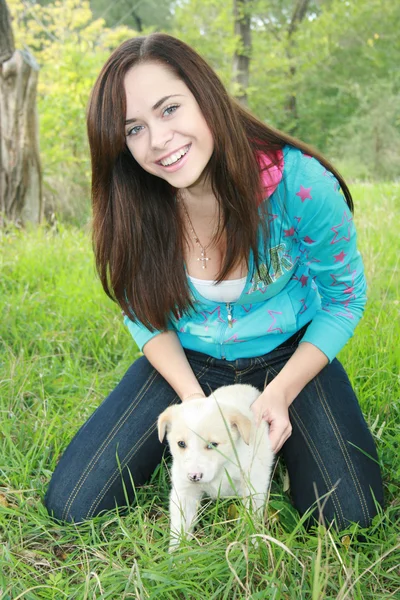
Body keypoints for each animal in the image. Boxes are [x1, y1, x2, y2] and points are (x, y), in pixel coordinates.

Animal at [158, 384, 274, 548]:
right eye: (181, 443)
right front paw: (178, 552)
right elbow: (180, 528)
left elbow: (250, 518)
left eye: (213, 444)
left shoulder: (254, 484)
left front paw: (251, 547)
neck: (221, 468)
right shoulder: (184, 491)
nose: (193, 476)